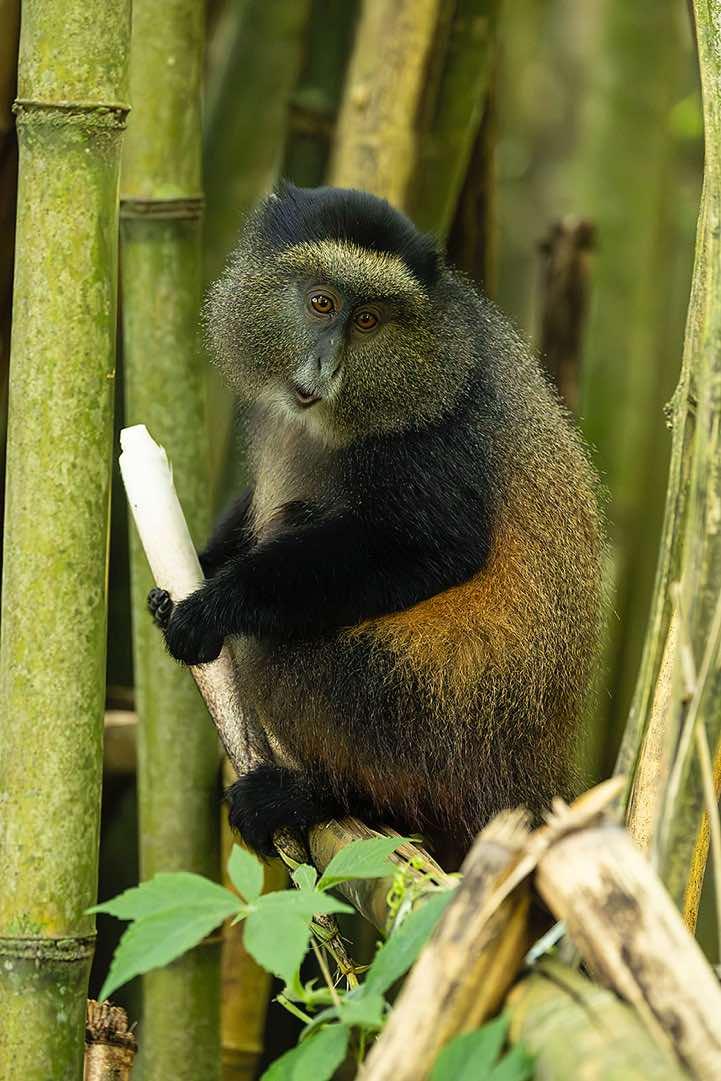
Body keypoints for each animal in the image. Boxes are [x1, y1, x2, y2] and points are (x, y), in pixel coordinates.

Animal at [149, 182, 604, 865]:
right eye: (322, 303)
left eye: (368, 321)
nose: (324, 368)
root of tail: (530, 778)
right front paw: (192, 572)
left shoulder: (431, 441)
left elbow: (433, 551)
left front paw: (216, 604)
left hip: (419, 717)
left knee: (288, 648)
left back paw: (324, 799)